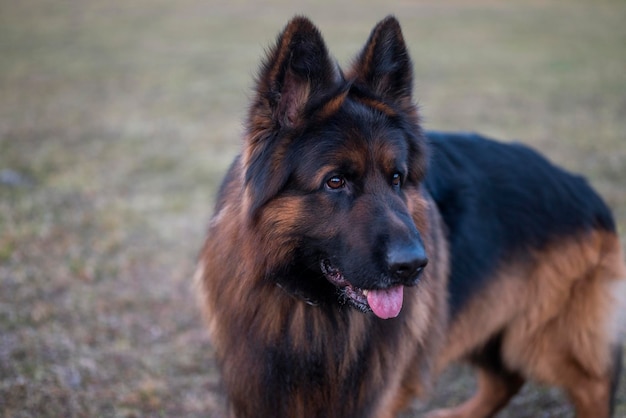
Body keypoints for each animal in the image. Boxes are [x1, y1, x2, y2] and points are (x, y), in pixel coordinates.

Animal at [196, 15, 624, 418]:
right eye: (335, 181)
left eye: (397, 178)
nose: (414, 266)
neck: (311, 306)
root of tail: (582, 186)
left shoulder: (376, 398)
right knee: (506, 379)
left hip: (541, 338)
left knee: (592, 383)